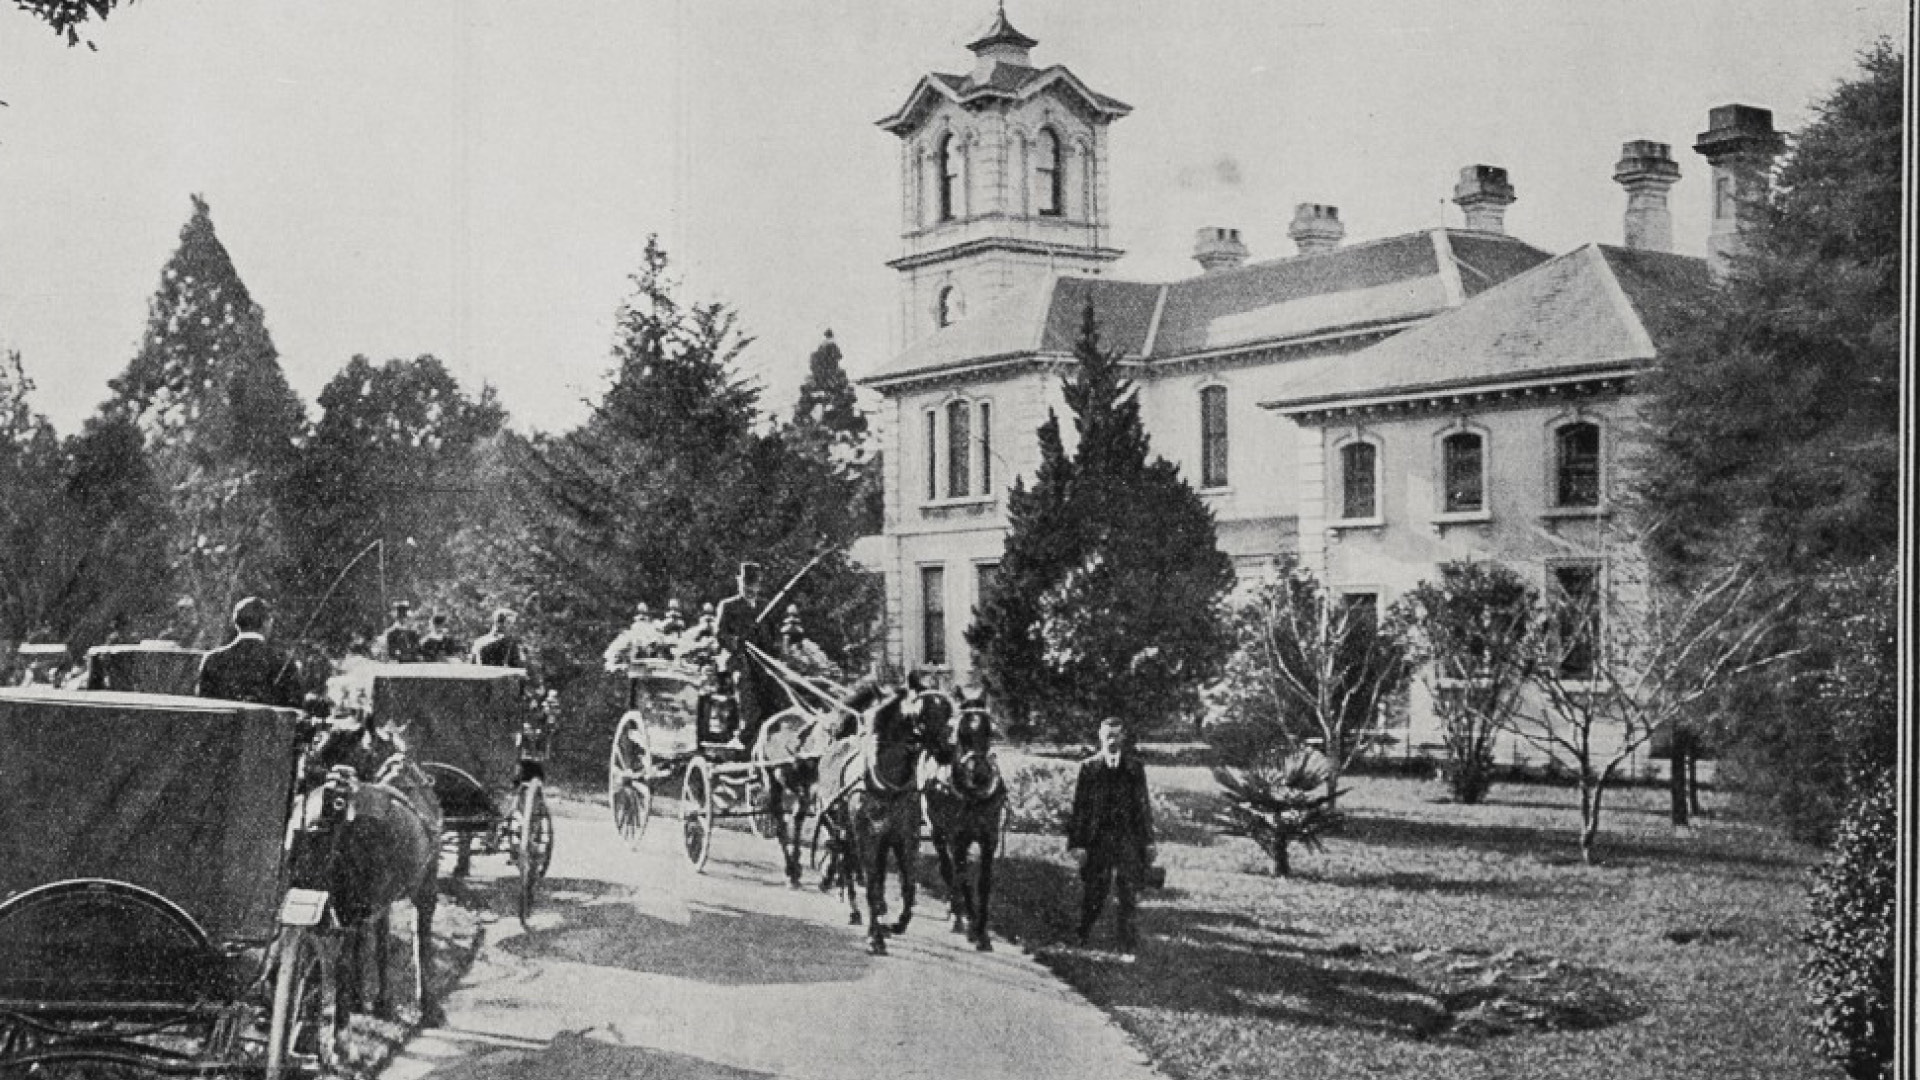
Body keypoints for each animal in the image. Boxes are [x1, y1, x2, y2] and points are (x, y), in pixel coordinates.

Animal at [925, 687, 1013, 949]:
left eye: (988, 731)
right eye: (961, 732)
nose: (981, 774)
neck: (971, 795)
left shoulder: (989, 839)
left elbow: (983, 883)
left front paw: (983, 932)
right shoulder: (958, 838)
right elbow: (962, 878)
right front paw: (971, 924)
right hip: (937, 831)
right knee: (948, 868)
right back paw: (957, 913)